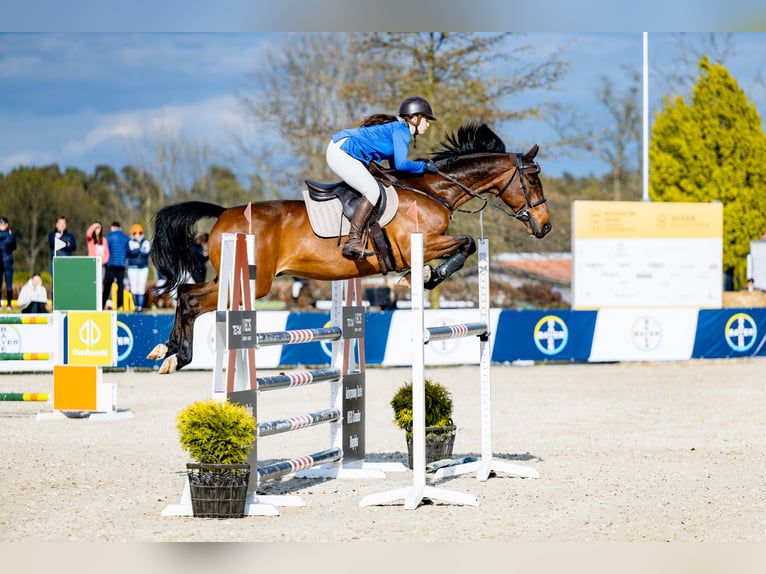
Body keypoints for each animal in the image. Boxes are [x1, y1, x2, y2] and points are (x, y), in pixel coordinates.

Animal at [147, 124, 548, 376]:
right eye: (532, 179)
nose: (545, 227)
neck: (434, 191)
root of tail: (222, 214)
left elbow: (465, 245)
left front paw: (423, 276)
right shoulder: (416, 244)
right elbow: (465, 244)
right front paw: (428, 276)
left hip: (235, 278)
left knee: (187, 292)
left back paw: (166, 352)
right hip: (253, 283)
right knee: (192, 299)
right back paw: (177, 356)